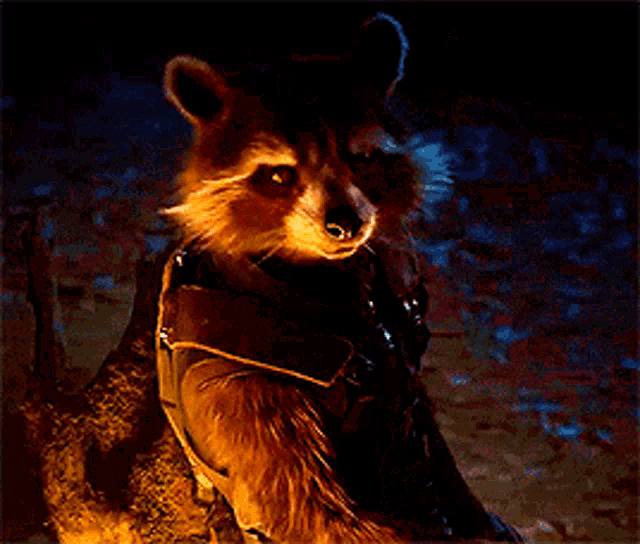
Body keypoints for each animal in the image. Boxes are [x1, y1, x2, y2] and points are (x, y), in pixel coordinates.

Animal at [13, 17, 524, 544]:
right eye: (280, 175)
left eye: (361, 159)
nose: (344, 224)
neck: (311, 278)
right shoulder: (240, 370)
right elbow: (308, 508)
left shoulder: (397, 326)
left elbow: (425, 430)